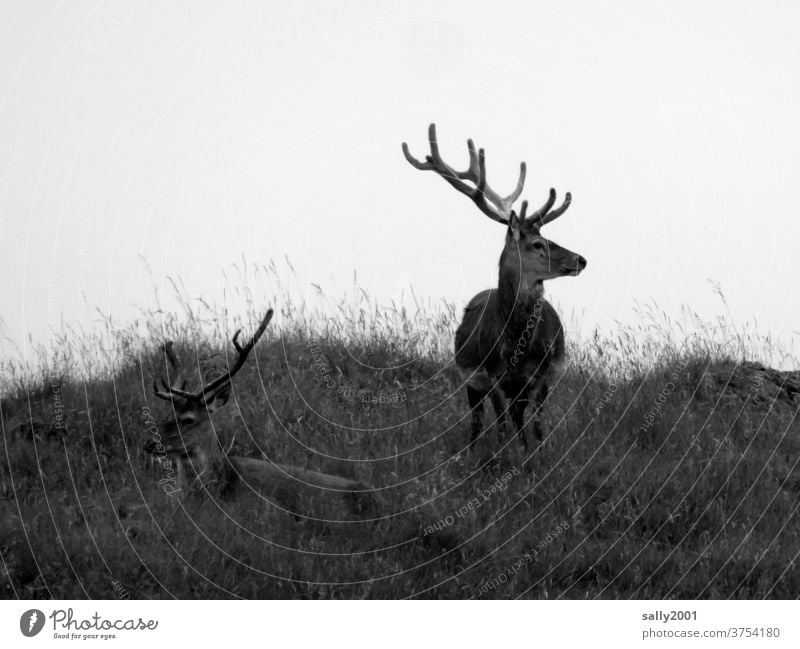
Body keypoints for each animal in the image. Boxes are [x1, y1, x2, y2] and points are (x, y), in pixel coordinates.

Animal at [404, 124, 584, 448]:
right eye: (538, 244)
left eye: (549, 237)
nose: (581, 260)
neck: (515, 347)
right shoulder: (493, 376)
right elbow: (500, 427)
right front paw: (503, 455)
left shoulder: (541, 377)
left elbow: (536, 428)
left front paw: (535, 455)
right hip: (471, 382)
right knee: (479, 421)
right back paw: (473, 450)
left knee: (517, 419)